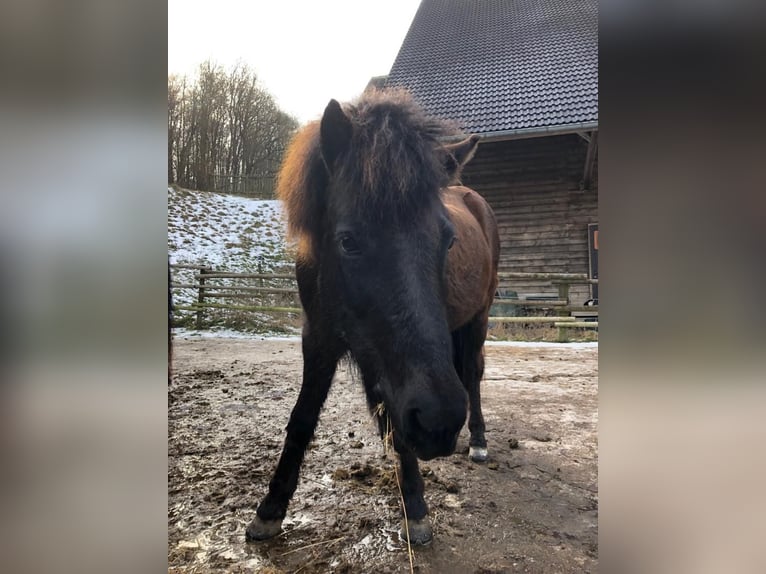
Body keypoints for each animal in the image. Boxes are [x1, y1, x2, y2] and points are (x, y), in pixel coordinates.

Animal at [246, 89, 500, 545]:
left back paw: (477, 440)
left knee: (472, 375)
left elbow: (396, 415)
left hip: (478, 318)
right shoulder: (322, 336)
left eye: (448, 239)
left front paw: (414, 505)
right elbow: (304, 416)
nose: (439, 421)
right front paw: (270, 508)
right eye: (348, 241)